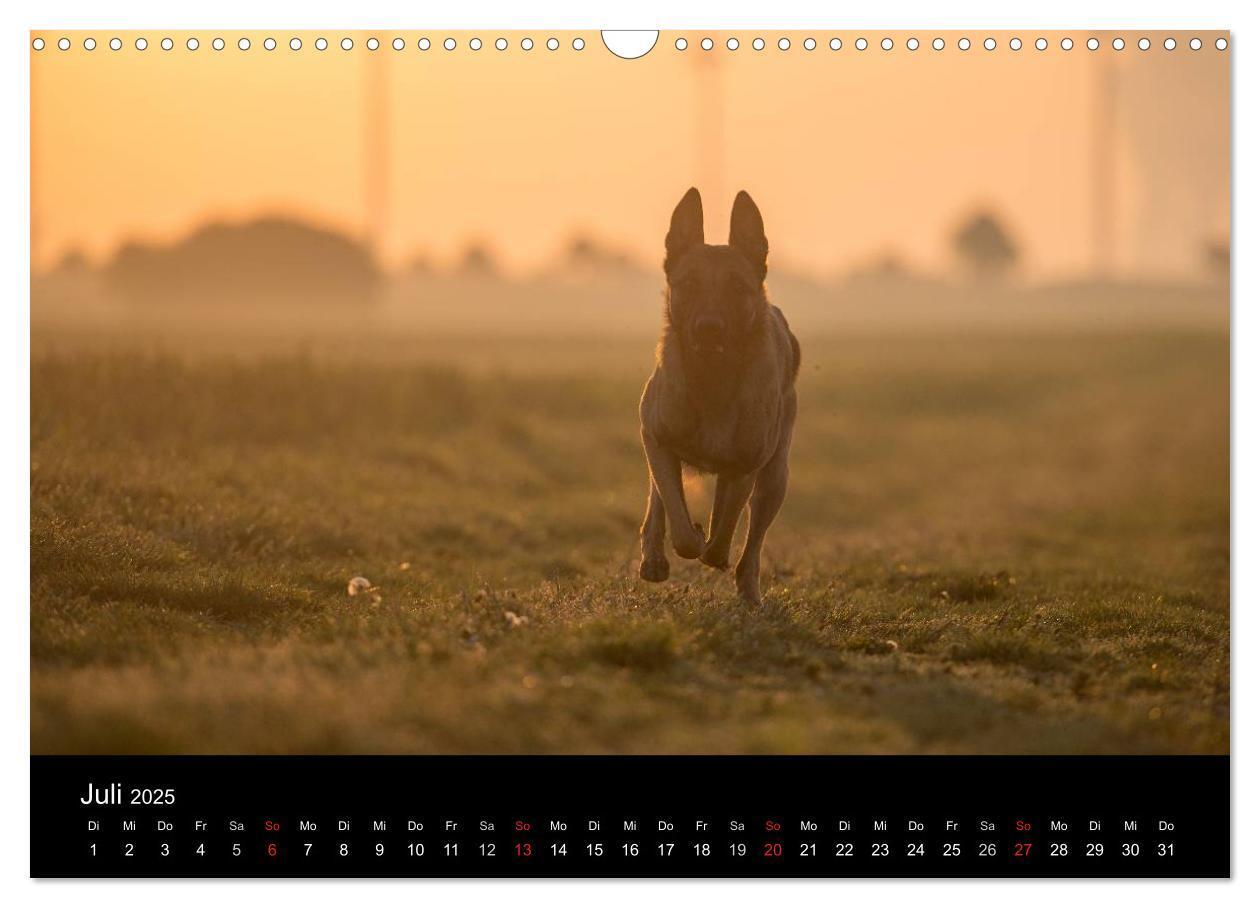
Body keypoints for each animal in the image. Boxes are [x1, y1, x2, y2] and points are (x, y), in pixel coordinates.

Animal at [635, 188, 801, 601]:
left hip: (774, 479)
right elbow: (678, 522)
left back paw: (748, 590)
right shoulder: (656, 440)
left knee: (751, 542)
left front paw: (715, 551)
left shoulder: (745, 466)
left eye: (737, 288)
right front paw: (685, 541)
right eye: (689, 284)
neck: (712, 379)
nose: (708, 329)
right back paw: (653, 557)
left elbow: (723, 532)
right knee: (659, 499)